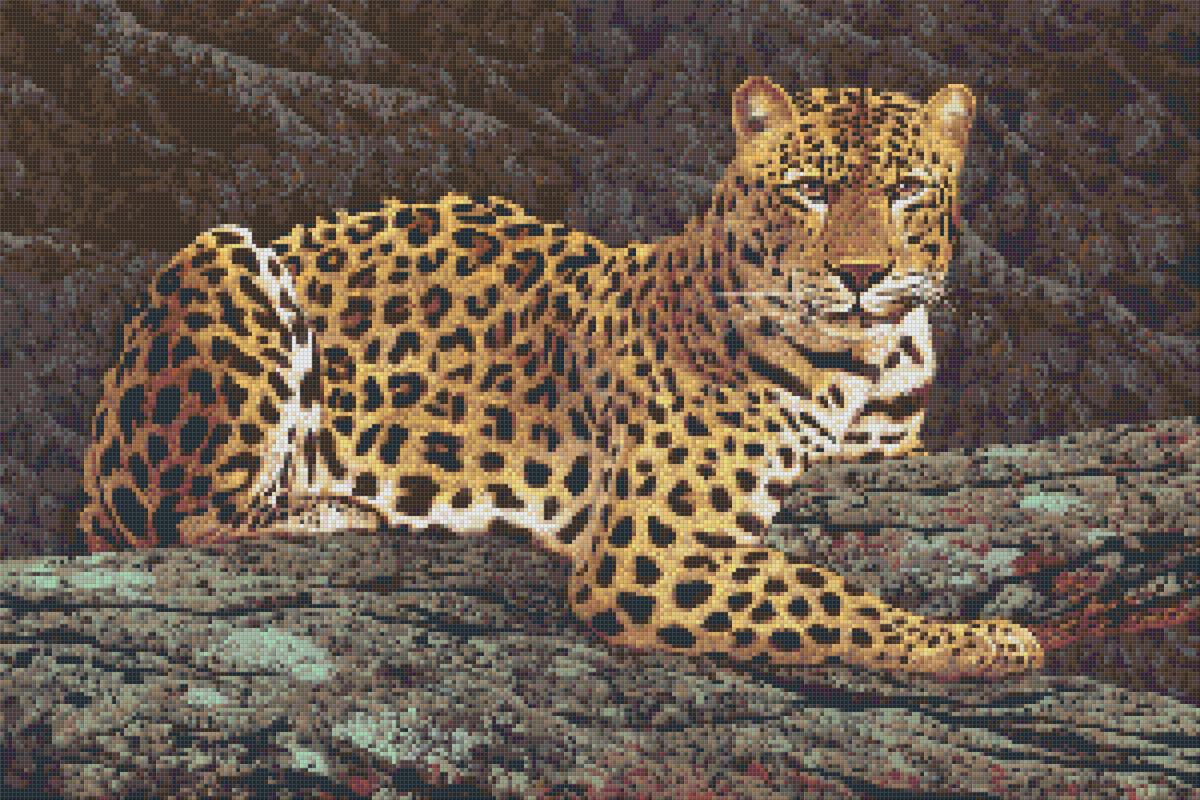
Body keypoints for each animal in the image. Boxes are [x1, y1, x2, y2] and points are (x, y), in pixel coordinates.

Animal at [80, 76, 1043, 680]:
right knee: (173, 521)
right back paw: (336, 507)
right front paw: (988, 641)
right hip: (225, 258)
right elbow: (827, 596)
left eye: (909, 191)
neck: (870, 362)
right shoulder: (654, 548)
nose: (861, 273)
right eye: (808, 189)